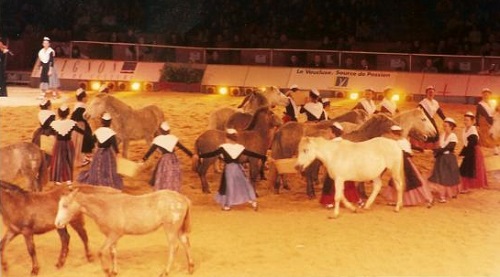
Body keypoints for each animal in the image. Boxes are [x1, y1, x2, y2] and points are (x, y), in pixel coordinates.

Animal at [54, 183, 193, 276]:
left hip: (171, 228)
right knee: (186, 243)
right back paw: (190, 268)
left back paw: (165, 272)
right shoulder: (112, 237)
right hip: (179, 229)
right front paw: (114, 271)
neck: (105, 207)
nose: (57, 223)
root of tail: (183, 198)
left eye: (65, 205)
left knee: (174, 247)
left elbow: (101, 251)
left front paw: (107, 271)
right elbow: (113, 253)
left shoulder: (114, 235)